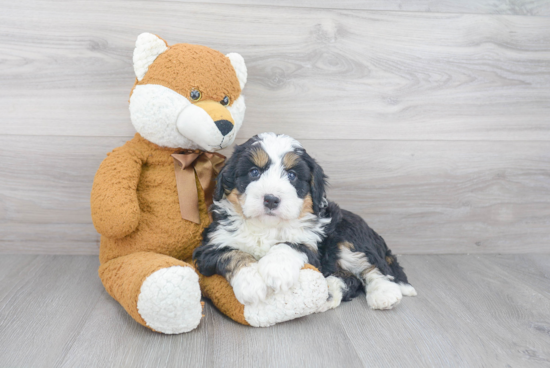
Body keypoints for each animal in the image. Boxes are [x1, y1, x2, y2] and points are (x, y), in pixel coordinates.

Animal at [194, 132, 418, 310]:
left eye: (292, 175)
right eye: (254, 172)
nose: (271, 199)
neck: (267, 226)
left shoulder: (312, 245)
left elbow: (289, 245)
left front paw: (276, 270)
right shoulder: (211, 245)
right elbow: (234, 254)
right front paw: (252, 283)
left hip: (348, 235)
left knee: (374, 268)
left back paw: (384, 294)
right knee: (352, 278)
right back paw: (330, 292)